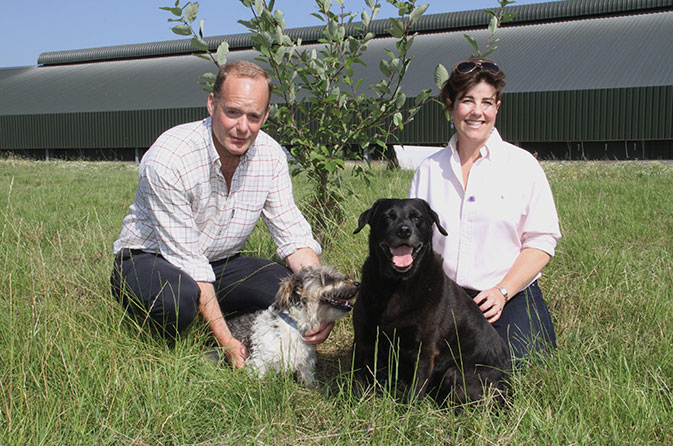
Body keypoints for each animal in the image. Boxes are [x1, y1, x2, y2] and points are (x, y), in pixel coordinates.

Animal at [228, 264, 360, 386]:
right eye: (327, 278)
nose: (357, 283)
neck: (295, 326)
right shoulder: (259, 363)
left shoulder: (306, 363)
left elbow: (308, 380)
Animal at [352, 199, 510, 404]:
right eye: (388, 216)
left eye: (417, 217)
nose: (404, 230)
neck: (396, 284)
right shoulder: (363, 339)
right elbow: (358, 381)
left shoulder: (424, 350)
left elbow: (416, 390)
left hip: (455, 374)